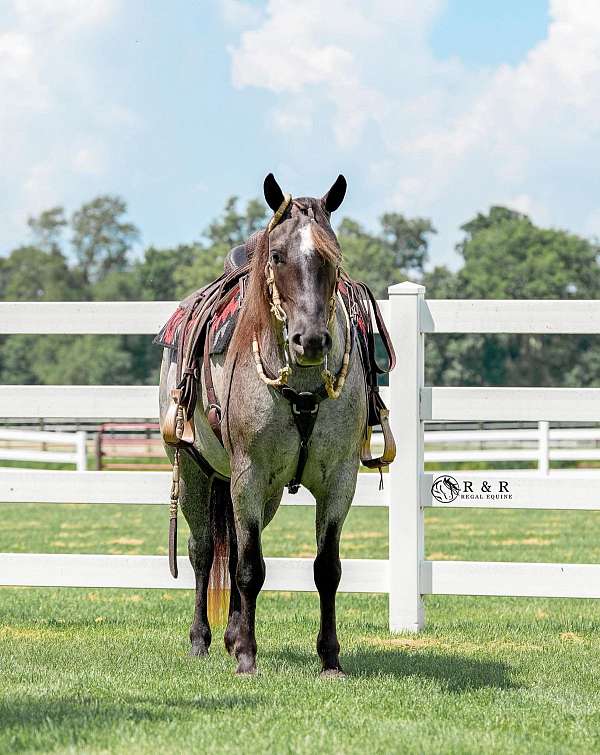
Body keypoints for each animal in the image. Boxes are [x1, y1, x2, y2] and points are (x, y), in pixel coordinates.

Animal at [159, 174, 370, 676]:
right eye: (277, 255)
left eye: (332, 254)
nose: (311, 339)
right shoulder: (248, 475)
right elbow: (250, 568)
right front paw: (247, 657)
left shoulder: (339, 480)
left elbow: (326, 569)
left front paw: (330, 658)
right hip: (196, 472)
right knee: (202, 552)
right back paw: (203, 639)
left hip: (261, 492)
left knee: (234, 547)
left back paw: (233, 634)